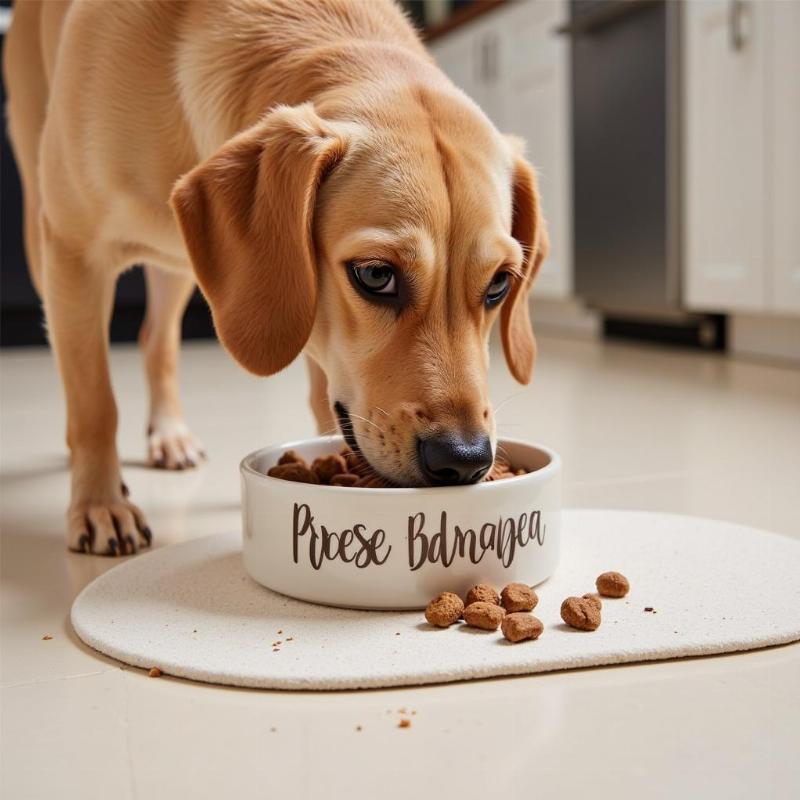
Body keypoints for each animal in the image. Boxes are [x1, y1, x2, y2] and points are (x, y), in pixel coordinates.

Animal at [3, 0, 548, 556]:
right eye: (376, 275)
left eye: (499, 284)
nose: (465, 459)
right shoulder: (75, 253)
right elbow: (95, 404)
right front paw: (100, 503)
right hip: (40, 243)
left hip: (181, 267)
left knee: (157, 338)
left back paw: (168, 433)